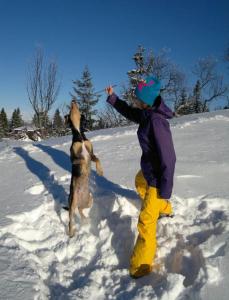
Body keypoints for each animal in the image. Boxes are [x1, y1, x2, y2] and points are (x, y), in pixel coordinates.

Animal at [65, 99, 103, 238]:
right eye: (70, 108)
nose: (73, 100)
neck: (79, 135)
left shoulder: (91, 152)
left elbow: (96, 159)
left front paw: (100, 171)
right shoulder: (74, 157)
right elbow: (80, 160)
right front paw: (83, 167)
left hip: (89, 199)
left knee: (81, 210)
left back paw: (85, 219)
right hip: (72, 203)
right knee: (71, 219)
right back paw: (71, 233)